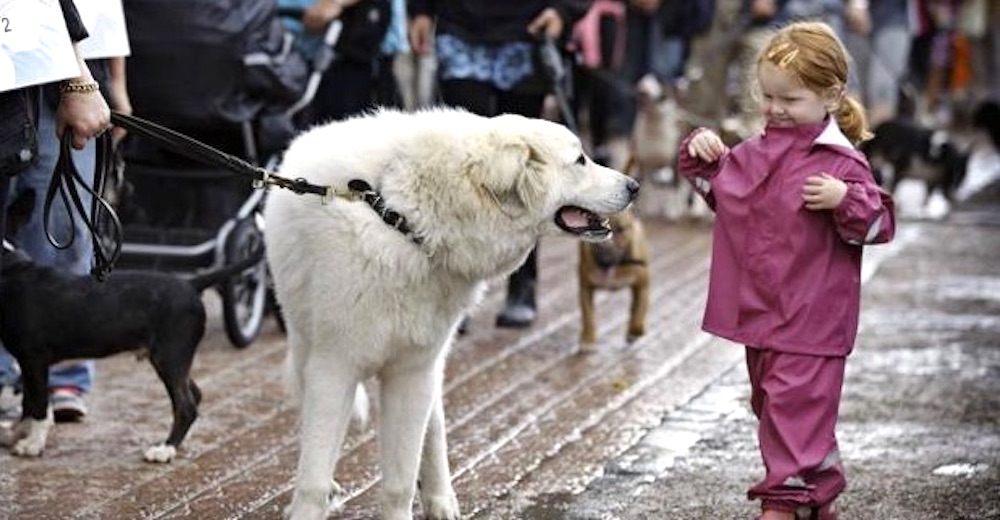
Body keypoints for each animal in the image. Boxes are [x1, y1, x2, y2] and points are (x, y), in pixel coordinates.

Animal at [1, 191, 260, 464]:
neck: (9, 268)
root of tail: (191, 284)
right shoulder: (27, 362)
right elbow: (29, 400)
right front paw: (17, 432)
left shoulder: (35, 358)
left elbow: (39, 404)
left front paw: (32, 444)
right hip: (175, 358)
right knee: (195, 395)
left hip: (169, 355)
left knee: (186, 405)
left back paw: (165, 449)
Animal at [264, 106, 640, 520]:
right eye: (579, 160)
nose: (635, 186)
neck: (400, 218)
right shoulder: (334, 369)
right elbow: (313, 478)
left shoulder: (412, 372)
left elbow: (400, 480)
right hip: (307, 347)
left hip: (428, 365)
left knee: (434, 431)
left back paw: (441, 499)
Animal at [576, 208, 652, 354]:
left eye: (620, 229)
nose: (605, 244)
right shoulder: (586, 289)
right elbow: (588, 317)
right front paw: (588, 339)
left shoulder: (642, 287)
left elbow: (639, 311)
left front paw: (634, 331)